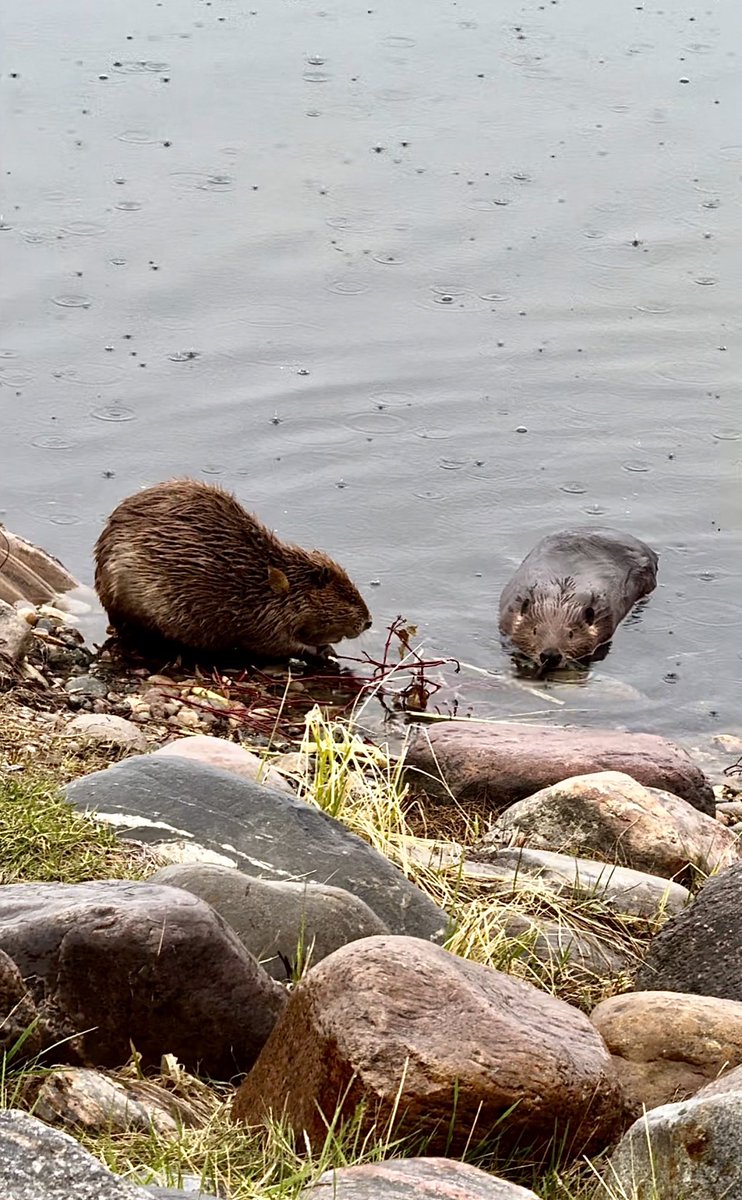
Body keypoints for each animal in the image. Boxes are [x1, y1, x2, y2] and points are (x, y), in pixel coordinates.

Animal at [93, 480, 369, 667]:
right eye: (349, 598)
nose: (369, 622)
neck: (278, 583)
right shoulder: (262, 617)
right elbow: (275, 644)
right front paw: (324, 652)